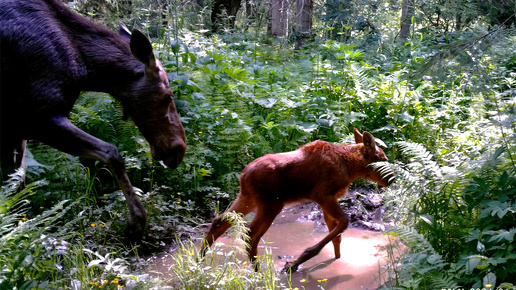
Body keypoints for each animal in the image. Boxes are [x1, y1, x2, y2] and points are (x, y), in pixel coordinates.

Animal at [0, 0, 188, 237]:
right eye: (168, 95)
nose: (179, 149)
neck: (86, 70)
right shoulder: (40, 119)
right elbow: (112, 153)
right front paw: (137, 220)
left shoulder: (16, 130)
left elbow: (15, 186)